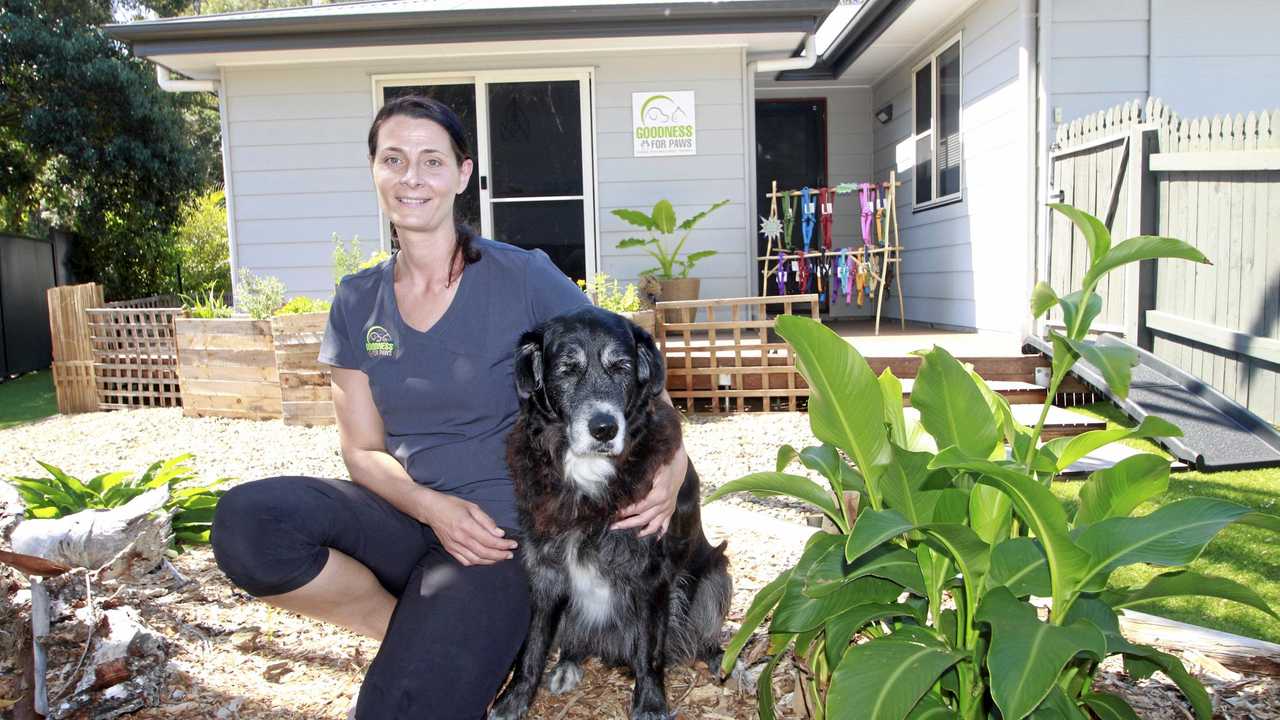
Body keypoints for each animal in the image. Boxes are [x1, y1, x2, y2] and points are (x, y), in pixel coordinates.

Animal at [488, 303, 732, 717]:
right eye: (567, 369)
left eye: (621, 367)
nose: (603, 429)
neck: (588, 475)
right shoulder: (546, 571)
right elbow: (532, 646)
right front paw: (514, 699)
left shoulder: (652, 575)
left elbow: (650, 651)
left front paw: (650, 702)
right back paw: (568, 663)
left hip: (716, 574)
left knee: (700, 634)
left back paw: (722, 660)